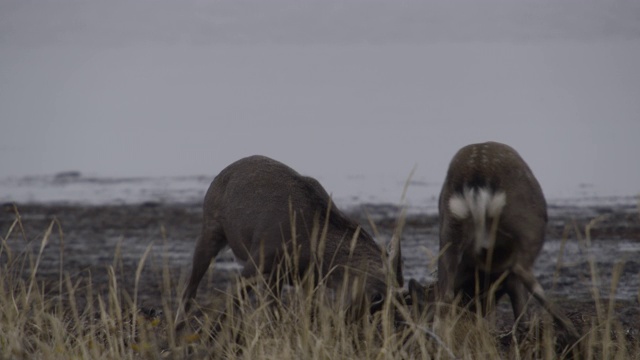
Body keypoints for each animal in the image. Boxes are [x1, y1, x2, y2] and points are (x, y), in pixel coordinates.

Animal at [178, 155, 402, 330]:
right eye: (376, 301)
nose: (347, 322)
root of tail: (221, 175)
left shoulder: (299, 279)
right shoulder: (258, 262)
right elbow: (234, 301)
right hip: (211, 232)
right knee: (191, 287)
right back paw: (180, 326)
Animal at [436, 142, 580, 342]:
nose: (475, 311)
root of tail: (476, 184)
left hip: (450, 229)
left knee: (445, 291)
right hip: (526, 228)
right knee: (521, 271)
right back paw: (569, 329)